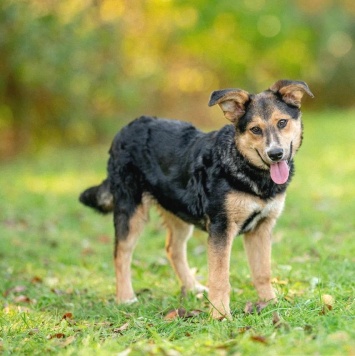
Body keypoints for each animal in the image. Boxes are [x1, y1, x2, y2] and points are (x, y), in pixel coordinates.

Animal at [80, 79, 314, 318]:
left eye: (282, 122)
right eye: (255, 129)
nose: (275, 154)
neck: (243, 164)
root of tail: (124, 130)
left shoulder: (261, 228)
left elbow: (262, 272)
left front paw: (271, 304)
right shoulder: (221, 228)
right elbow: (220, 278)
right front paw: (220, 315)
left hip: (178, 212)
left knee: (173, 249)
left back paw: (192, 287)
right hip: (131, 211)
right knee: (121, 253)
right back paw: (126, 298)